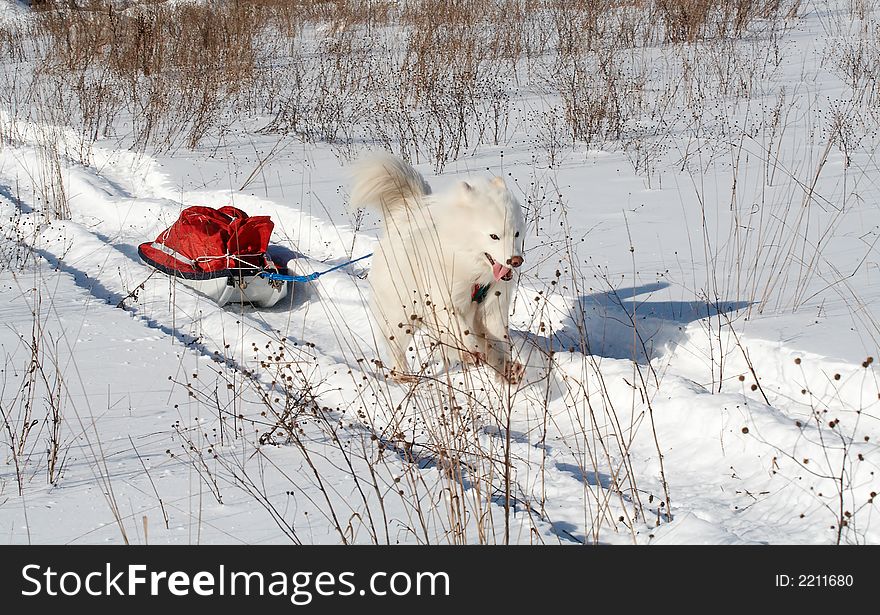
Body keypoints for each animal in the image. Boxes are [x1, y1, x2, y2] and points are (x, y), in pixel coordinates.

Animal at [350, 153, 524, 384]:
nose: (516, 260)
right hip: (404, 313)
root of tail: (405, 213)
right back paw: (403, 376)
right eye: (494, 236)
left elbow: (498, 341)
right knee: (395, 346)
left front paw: (508, 370)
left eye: (516, 234)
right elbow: (461, 331)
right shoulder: (444, 301)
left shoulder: (493, 307)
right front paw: (471, 353)